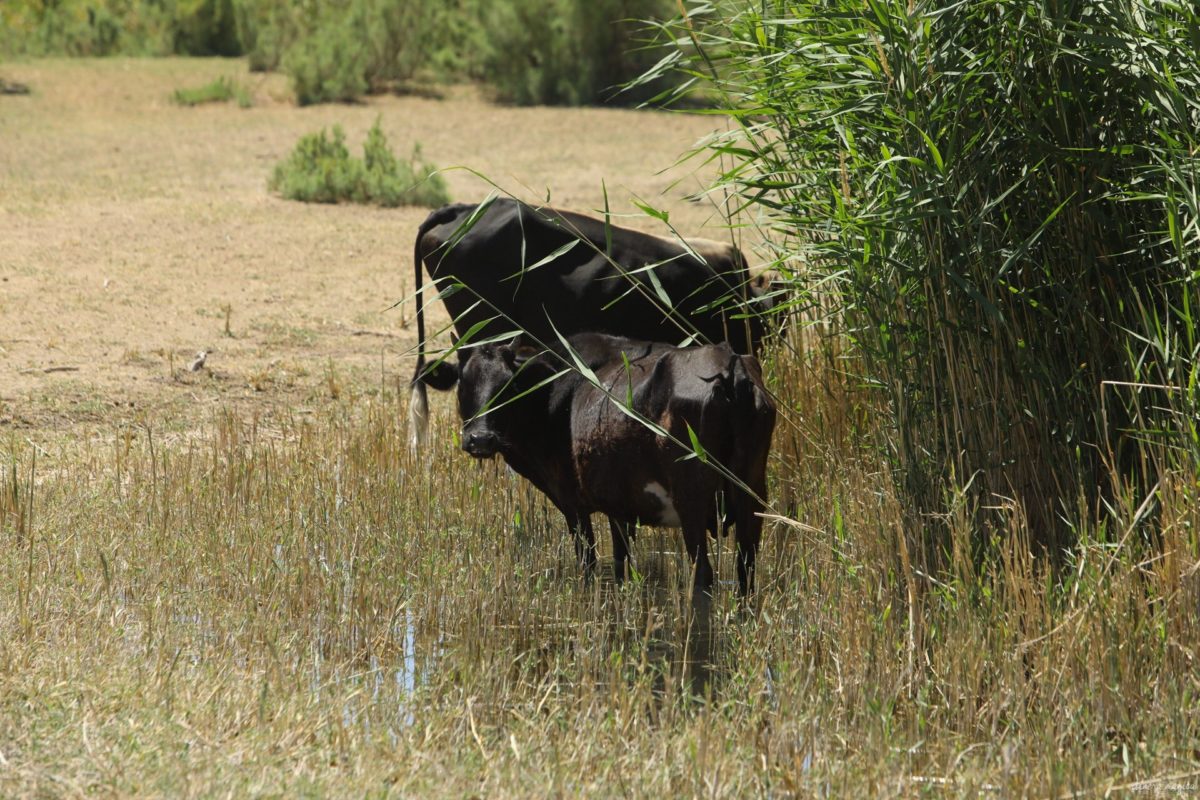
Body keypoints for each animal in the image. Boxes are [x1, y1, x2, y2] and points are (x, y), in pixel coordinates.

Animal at [451, 328, 777, 597]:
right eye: (463, 382)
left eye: (509, 385)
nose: (480, 439)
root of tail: (729, 365)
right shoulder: (620, 506)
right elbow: (622, 562)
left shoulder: (573, 504)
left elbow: (588, 562)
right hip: (751, 493)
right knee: (746, 568)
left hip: (692, 500)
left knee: (704, 575)